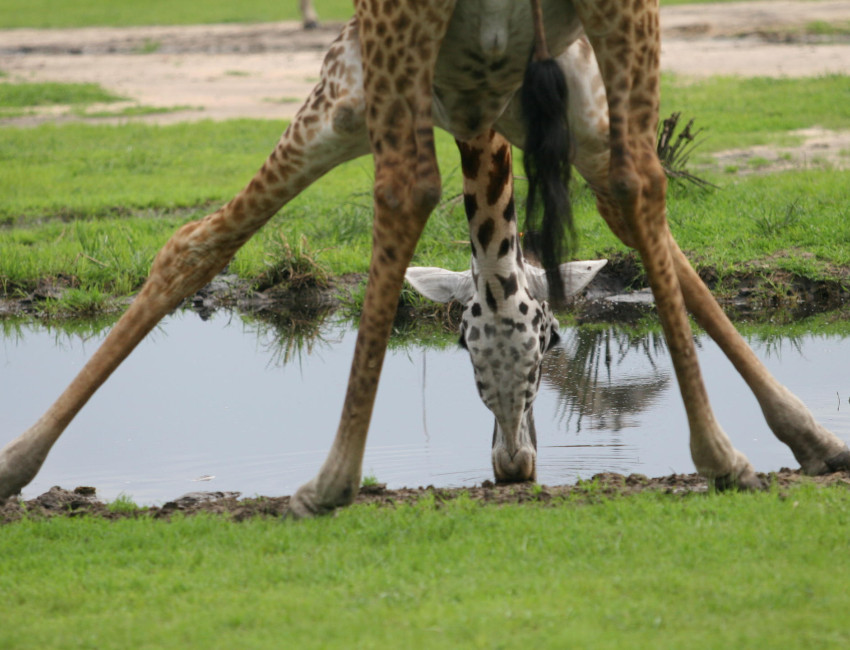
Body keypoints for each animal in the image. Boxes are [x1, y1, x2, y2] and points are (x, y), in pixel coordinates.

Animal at [1, 0, 848, 515]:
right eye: (466, 344)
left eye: (548, 342)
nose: (514, 468)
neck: (482, 115)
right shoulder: (404, 99)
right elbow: (196, 247)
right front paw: (807, 439)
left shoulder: (354, 85)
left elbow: (194, 242)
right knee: (642, 180)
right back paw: (721, 456)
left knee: (407, 188)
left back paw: (330, 479)